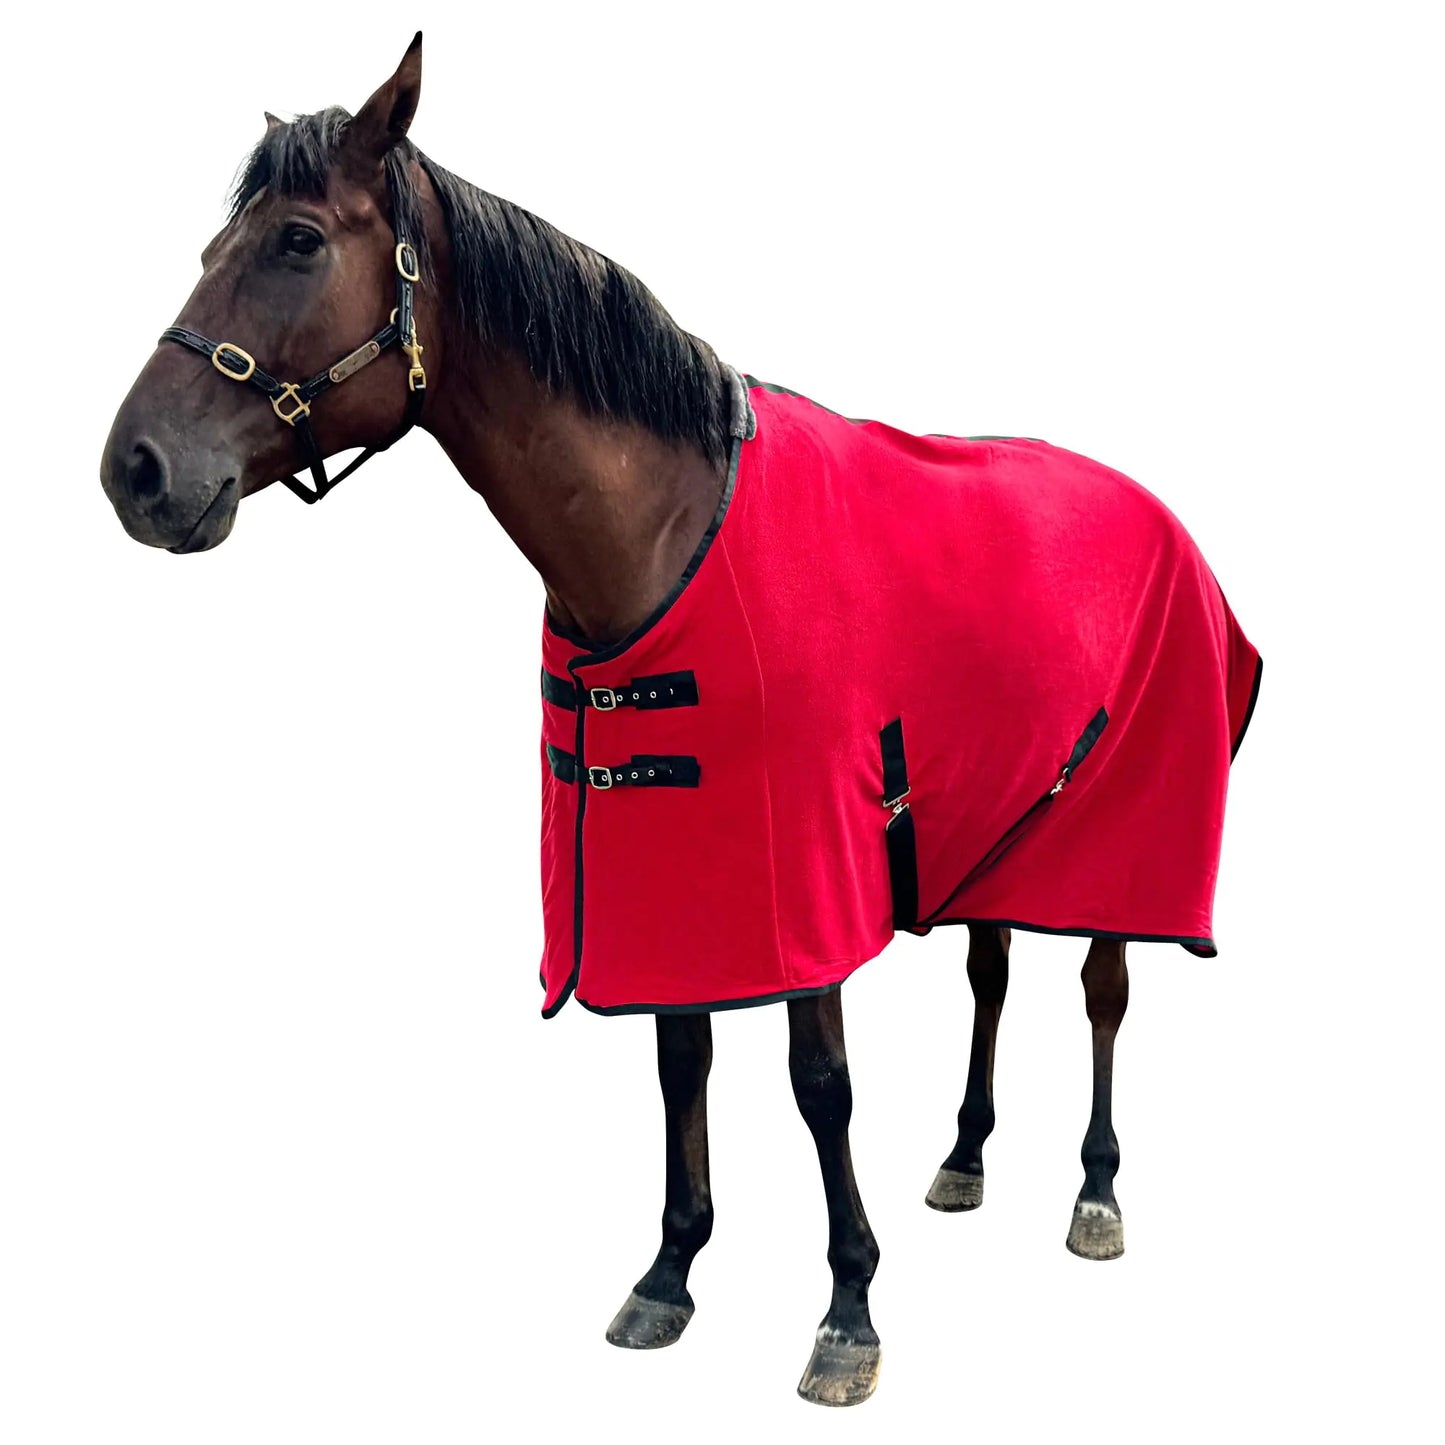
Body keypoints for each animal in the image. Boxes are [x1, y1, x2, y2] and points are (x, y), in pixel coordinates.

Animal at [100, 34, 1260, 1407]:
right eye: (209, 246)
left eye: (292, 241)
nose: (133, 471)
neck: (660, 530)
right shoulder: (664, 862)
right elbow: (679, 1061)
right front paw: (669, 1271)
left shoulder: (800, 871)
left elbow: (819, 1084)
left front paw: (847, 1308)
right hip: (1002, 816)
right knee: (990, 966)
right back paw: (968, 1155)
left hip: (1115, 820)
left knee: (1100, 984)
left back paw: (1093, 1186)